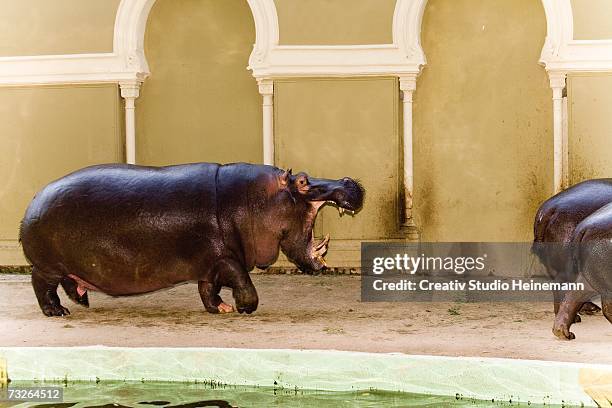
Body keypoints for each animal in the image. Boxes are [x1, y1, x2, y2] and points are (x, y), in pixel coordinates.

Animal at [20, 163, 364, 316]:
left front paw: (220, 309)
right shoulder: (227, 257)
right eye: (303, 181)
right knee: (41, 285)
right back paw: (57, 312)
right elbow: (244, 281)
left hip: (69, 265)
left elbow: (207, 289)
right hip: (47, 266)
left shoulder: (208, 263)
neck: (257, 200)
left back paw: (83, 300)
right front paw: (244, 308)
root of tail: (33, 201)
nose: (348, 180)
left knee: (70, 282)